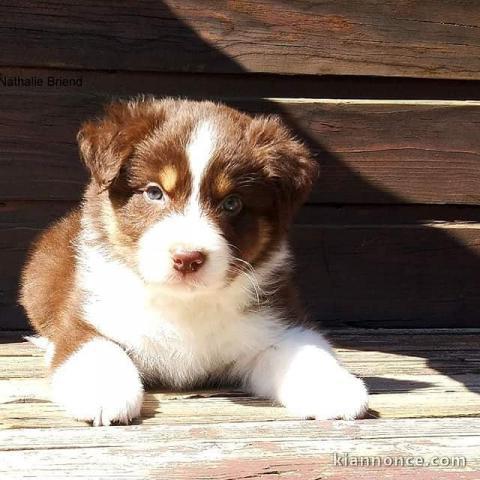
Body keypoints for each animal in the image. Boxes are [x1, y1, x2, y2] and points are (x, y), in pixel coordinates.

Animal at [19, 96, 368, 424]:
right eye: (154, 192)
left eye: (232, 203)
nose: (187, 259)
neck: (183, 305)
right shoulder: (87, 313)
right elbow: (96, 347)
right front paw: (103, 393)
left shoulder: (275, 322)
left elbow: (307, 350)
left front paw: (337, 391)